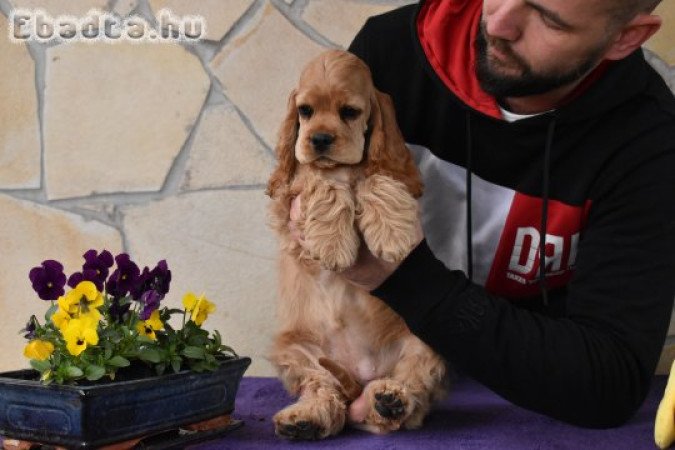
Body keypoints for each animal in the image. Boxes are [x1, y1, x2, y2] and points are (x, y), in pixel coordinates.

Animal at [266, 49, 448, 440]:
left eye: (349, 111)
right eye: (305, 111)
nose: (319, 139)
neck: (341, 166)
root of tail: (361, 375)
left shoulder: (392, 170)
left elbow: (378, 177)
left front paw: (393, 236)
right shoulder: (289, 196)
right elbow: (320, 181)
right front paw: (333, 244)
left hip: (425, 340)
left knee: (406, 397)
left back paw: (388, 400)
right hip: (297, 351)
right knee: (324, 390)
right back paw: (305, 418)